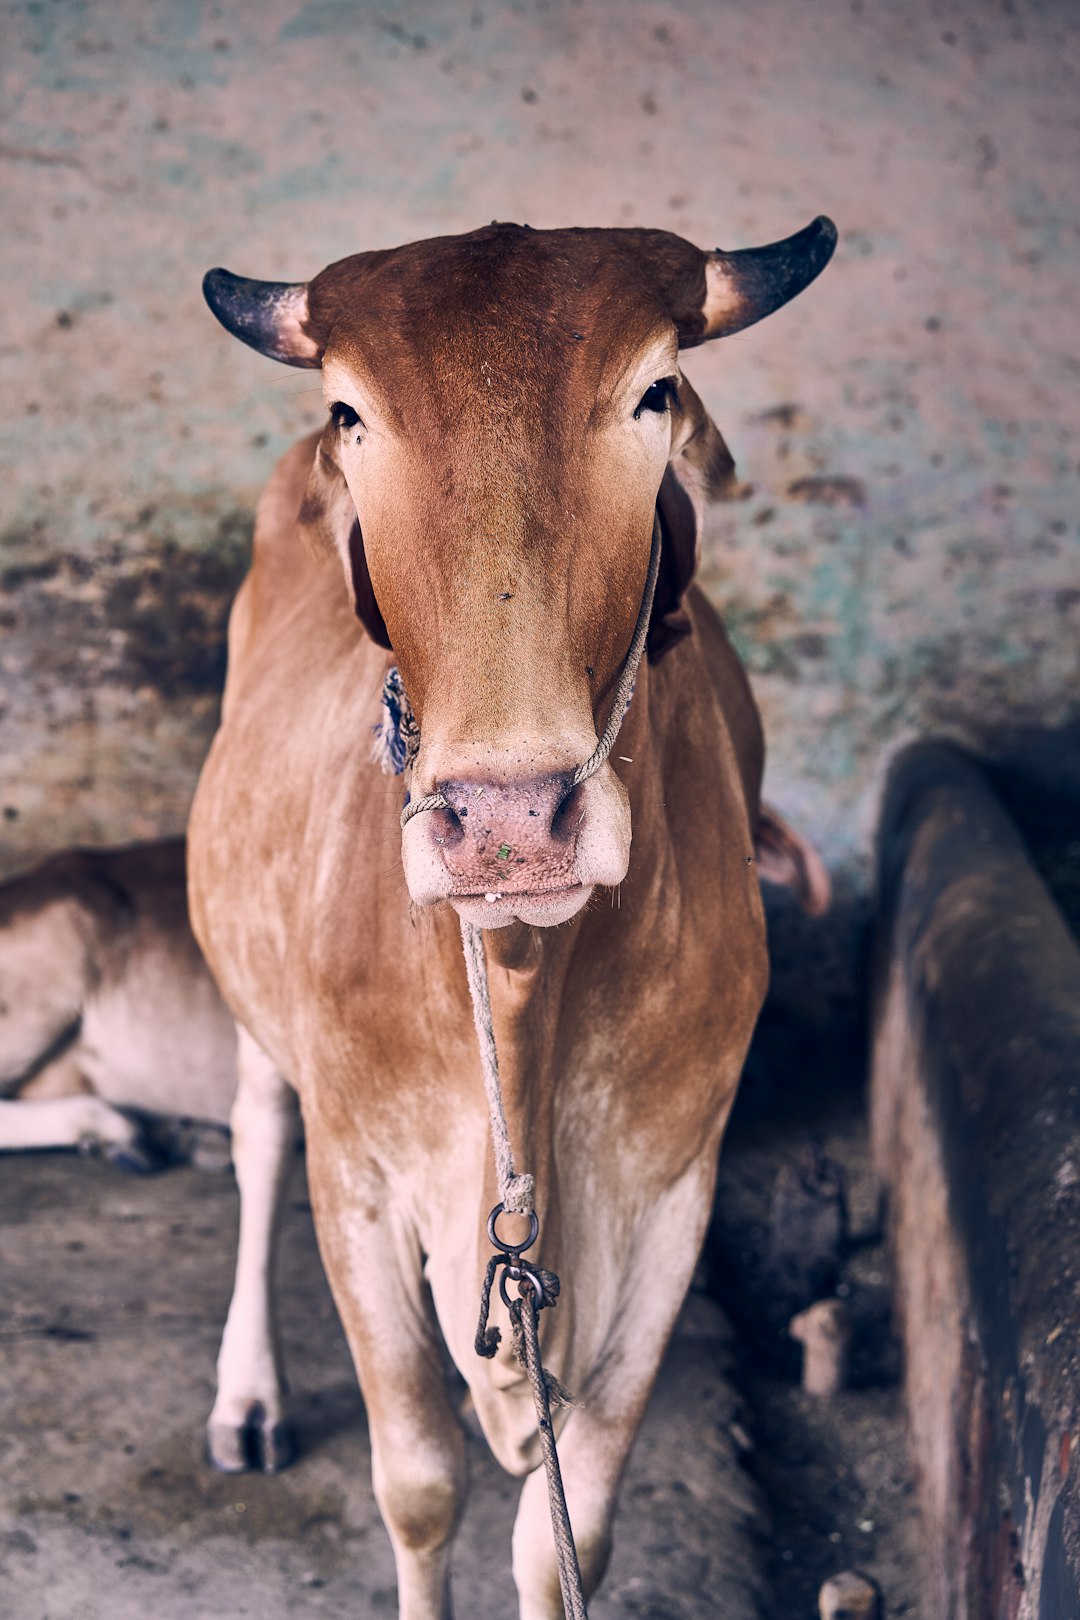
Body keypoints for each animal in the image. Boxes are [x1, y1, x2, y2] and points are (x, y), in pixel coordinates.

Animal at [191, 218, 835, 1620]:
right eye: (352, 412)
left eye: (654, 393)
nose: (505, 817)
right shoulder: (360, 1180)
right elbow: (420, 1485)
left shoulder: (672, 1195)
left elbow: (565, 1536)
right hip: (258, 1008)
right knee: (256, 1136)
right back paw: (246, 1396)